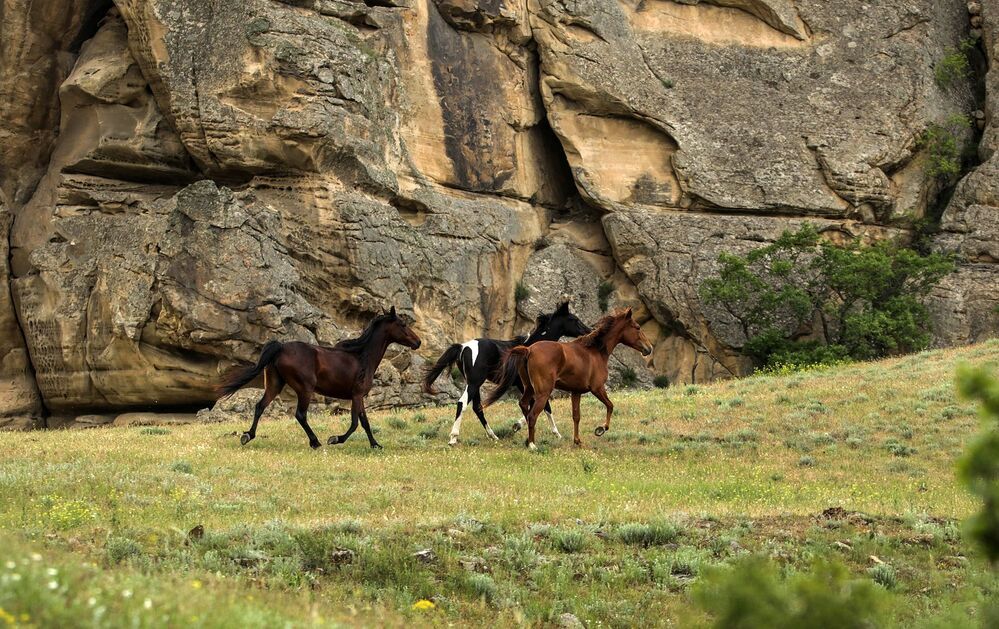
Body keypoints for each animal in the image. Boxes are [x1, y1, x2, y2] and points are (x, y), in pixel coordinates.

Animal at [216, 307, 421, 449]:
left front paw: (375, 445)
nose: (418, 342)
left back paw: (247, 435)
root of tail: (281, 347)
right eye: (403, 325)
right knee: (300, 414)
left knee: (260, 406)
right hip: (305, 389)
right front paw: (335, 439)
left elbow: (365, 422)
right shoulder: (356, 396)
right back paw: (315, 442)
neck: (362, 357)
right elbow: (355, 423)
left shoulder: (359, 397)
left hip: (275, 384)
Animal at [422, 301, 590, 446]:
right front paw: (556, 434)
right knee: (463, 403)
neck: (531, 346)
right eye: (574, 319)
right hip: (475, 382)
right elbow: (544, 406)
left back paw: (493, 436)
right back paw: (453, 438)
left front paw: (518, 426)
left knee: (477, 407)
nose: (588, 331)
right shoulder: (530, 385)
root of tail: (464, 347)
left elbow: (533, 406)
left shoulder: (525, 386)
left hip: (473, 383)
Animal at [485, 308, 652, 449]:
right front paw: (600, 429)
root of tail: (528, 350)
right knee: (532, 415)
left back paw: (527, 438)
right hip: (543, 392)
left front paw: (577, 441)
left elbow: (576, 416)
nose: (649, 348)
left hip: (529, 389)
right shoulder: (597, 388)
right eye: (637, 327)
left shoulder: (576, 392)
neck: (596, 351)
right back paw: (532, 445)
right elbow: (610, 406)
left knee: (524, 406)